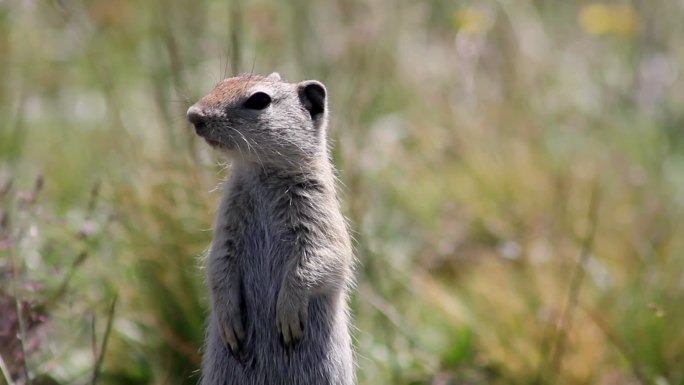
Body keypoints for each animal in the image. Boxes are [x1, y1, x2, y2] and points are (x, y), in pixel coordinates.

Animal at [187, 73, 356, 384]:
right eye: (222, 83)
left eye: (259, 100)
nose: (194, 115)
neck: (261, 170)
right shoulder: (227, 224)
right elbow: (218, 265)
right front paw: (229, 321)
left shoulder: (320, 219)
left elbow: (318, 261)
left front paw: (288, 317)